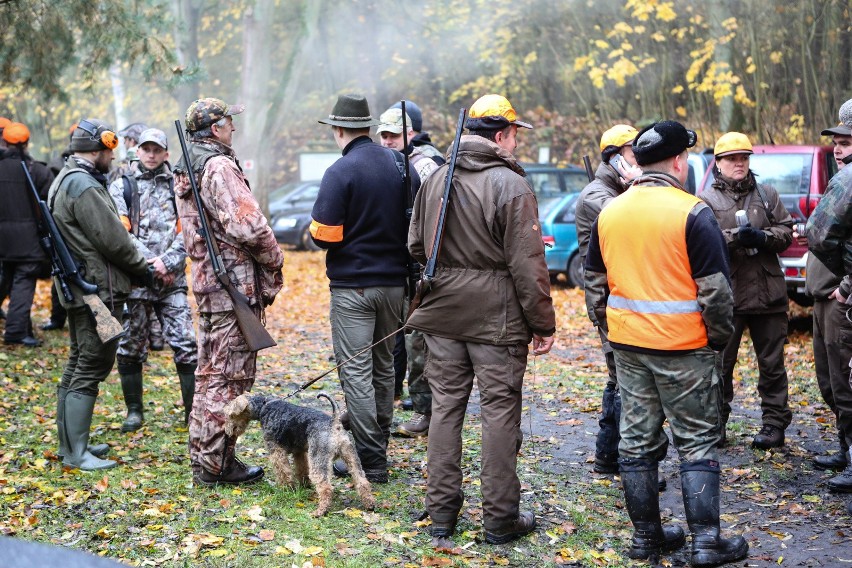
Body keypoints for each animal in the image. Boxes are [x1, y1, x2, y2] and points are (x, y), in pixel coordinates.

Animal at [225, 392, 374, 516]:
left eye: (230, 414)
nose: (228, 431)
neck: (263, 406)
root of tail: (335, 423)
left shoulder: (276, 451)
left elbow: (283, 471)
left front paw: (286, 488)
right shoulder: (300, 452)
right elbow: (301, 469)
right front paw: (303, 485)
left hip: (319, 460)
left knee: (326, 487)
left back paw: (320, 511)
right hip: (351, 457)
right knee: (362, 481)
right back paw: (370, 504)